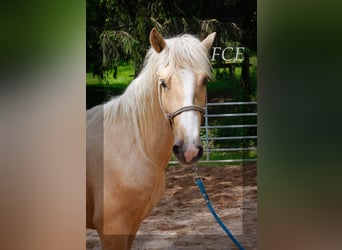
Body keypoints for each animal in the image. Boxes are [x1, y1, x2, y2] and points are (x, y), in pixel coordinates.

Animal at [87, 28, 215, 249]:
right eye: (163, 83)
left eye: (205, 81)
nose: (189, 149)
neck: (132, 147)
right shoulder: (112, 230)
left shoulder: (133, 226)